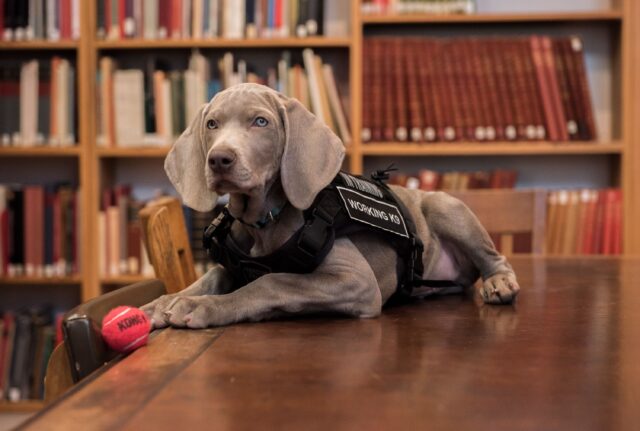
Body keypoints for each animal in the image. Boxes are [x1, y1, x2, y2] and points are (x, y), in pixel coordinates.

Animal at [141, 82, 520, 330]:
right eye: (212, 124)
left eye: (260, 122)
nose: (219, 159)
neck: (264, 221)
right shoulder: (235, 265)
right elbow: (211, 277)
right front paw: (162, 302)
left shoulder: (357, 282)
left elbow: (272, 282)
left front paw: (205, 307)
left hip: (444, 206)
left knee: (494, 258)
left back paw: (499, 283)